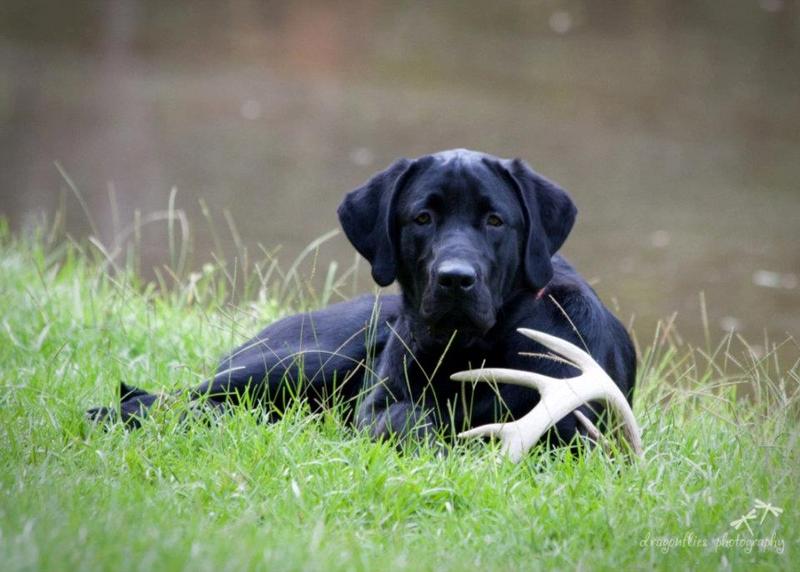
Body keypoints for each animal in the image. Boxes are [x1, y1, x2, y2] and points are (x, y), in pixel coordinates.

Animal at [89, 147, 636, 446]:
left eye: (495, 220)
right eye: (422, 217)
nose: (455, 279)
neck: (469, 350)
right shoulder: (377, 403)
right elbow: (403, 417)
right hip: (302, 361)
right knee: (169, 396)